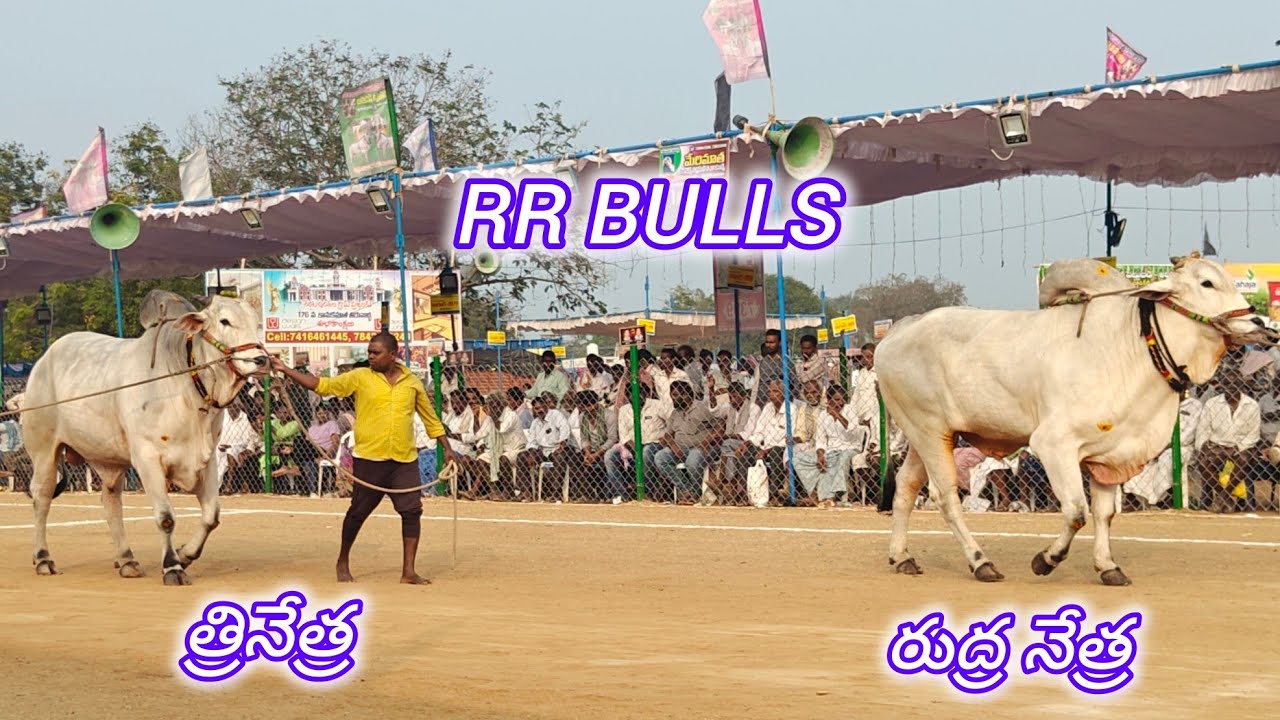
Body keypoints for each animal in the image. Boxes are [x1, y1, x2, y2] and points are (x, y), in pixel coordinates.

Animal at [20, 291, 269, 586]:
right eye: (225, 321)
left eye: (256, 321)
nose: (261, 360)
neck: (185, 382)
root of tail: (45, 359)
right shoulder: (147, 459)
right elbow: (166, 518)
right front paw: (172, 566)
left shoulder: (206, 460)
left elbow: (211, 516)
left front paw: (185, 554)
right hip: (44, 451)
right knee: (42, 497)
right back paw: (42, 558)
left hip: (109, 461)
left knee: (111, 503)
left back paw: (127, 559)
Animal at [875, 253, 1277, 586]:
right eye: (1207, 283)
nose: (1264, 324)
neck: (1131, 349)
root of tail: (898, 330)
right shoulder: (1054, 445)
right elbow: (1076, 512)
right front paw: (1046, 559)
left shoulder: (1109, 456)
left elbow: (1104, 514)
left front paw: (1108, 567)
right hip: (929, 431)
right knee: (945, 497)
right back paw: (980, 561)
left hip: (927, 435)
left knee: (906, 487)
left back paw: (902, 556)